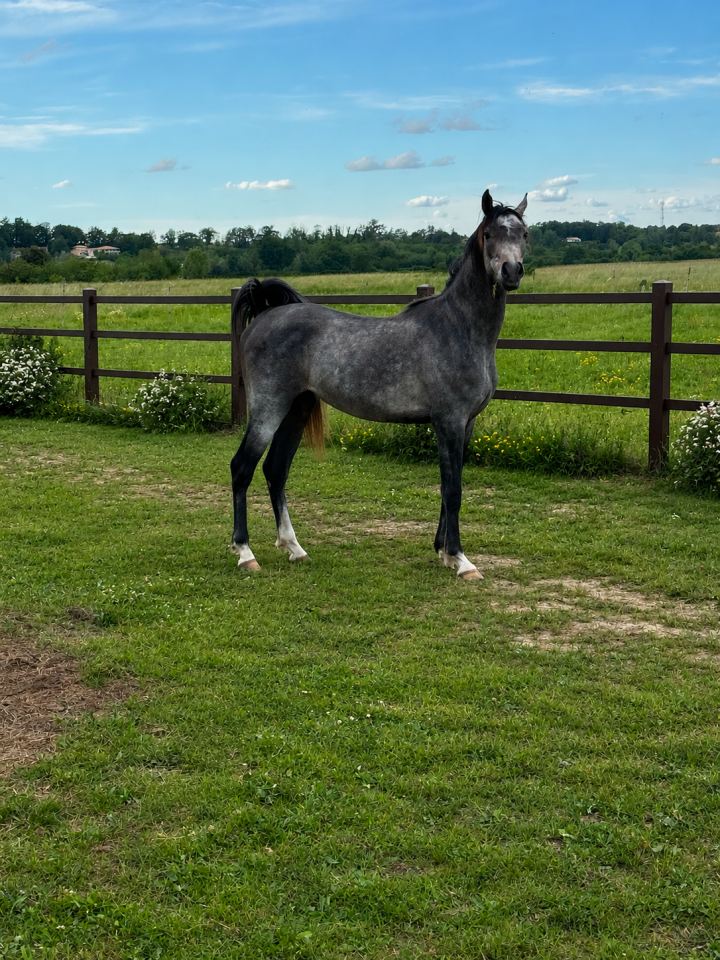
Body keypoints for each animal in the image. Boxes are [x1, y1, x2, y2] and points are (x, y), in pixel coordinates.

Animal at [230, 188, 528, 580]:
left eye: (524, 234)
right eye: (490, 234)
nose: (512, 271)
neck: (458, 328)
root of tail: (266, 313)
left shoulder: (467, 424)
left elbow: (449, 486)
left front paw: (443, 551)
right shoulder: (448, 421)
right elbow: (453, 491)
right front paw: (461, 560)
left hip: (297, 408)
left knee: (275, 470)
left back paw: (295, 548)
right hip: (268, 410)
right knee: (242, 469)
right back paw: (245, 553)